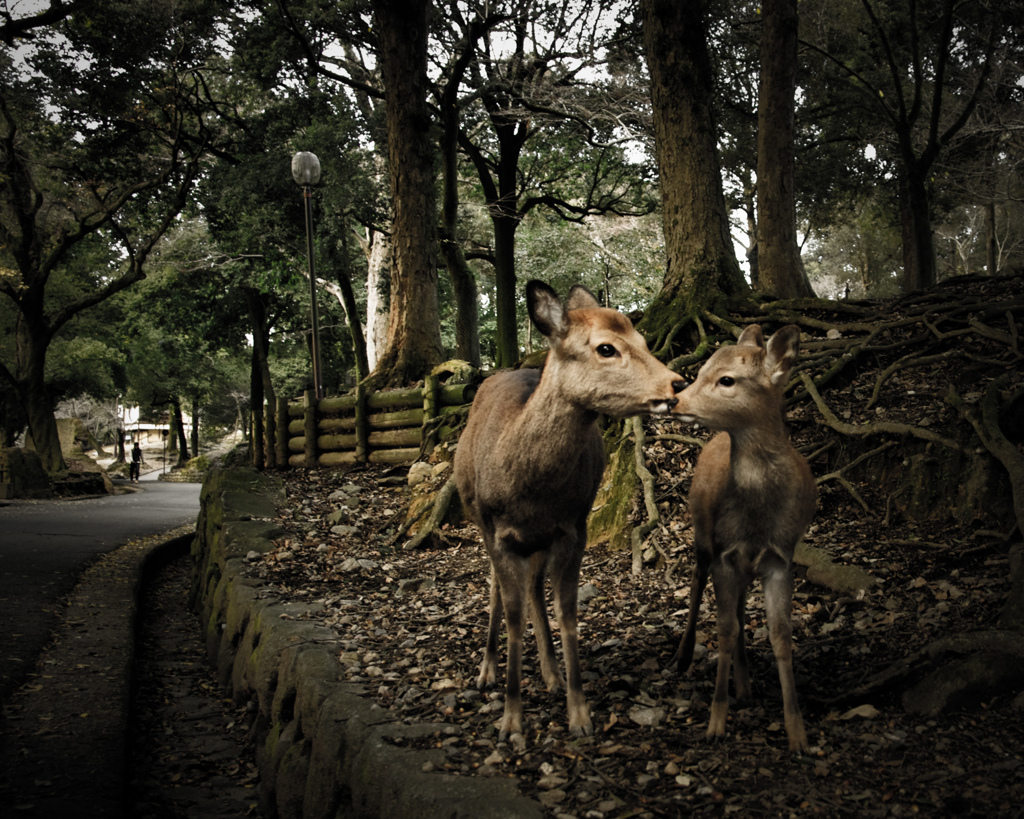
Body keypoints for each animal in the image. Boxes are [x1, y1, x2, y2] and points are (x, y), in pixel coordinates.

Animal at [458, 282, 688, 741]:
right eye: (605, 348)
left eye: (643, 340)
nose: (676, 383)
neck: (530, 493)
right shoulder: (498, 531)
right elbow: (512, 615)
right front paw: (510, 722)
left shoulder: (573, 527)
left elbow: (567, 614)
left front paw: (579, 714)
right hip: (478, 519)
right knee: (496, 590)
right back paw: (487, 672)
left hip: (541, 542)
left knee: (533, 588)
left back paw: (551, 674)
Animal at [671, 323, 815, 753]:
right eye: (701, 369)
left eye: (727, 380)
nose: (675, 399)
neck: (757, 518)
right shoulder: (724, 554)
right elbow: (723, 630)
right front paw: (716, 723)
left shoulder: (780, 558)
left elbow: (780, 635)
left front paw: (797, 732)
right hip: (703, 535)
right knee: (698, 581)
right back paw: (683, 657)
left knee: (736, 608)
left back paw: (746, 685)